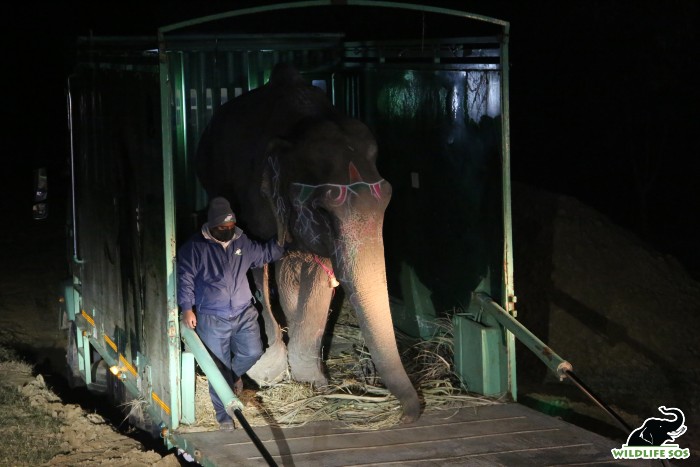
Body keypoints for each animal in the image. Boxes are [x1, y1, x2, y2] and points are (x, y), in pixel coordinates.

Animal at [194, 63, 418, 424]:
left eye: (387, 199)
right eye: (323, 210)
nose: (409, 414)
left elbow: (311, 280)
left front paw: (310, 381)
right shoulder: (254, 201)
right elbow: (259, 272)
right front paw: (268, 374)